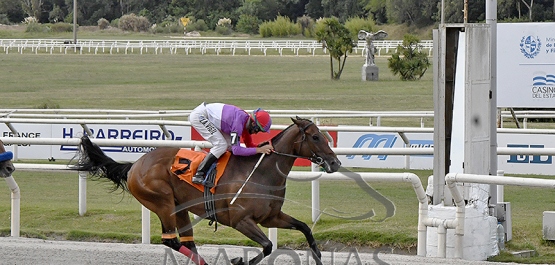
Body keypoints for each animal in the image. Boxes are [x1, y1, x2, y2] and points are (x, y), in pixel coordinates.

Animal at [74, 117, 340, 264]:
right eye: (316, 137)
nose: (335, 162)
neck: (262, 172)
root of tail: (134, 165)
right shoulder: (241, 220)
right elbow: (267, 246)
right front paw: (238, 261)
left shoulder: (271, 217)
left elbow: (305, 228)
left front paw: (319, 258)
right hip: (162, 203)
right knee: (170, 240)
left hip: (179, 207)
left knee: (187, 242)